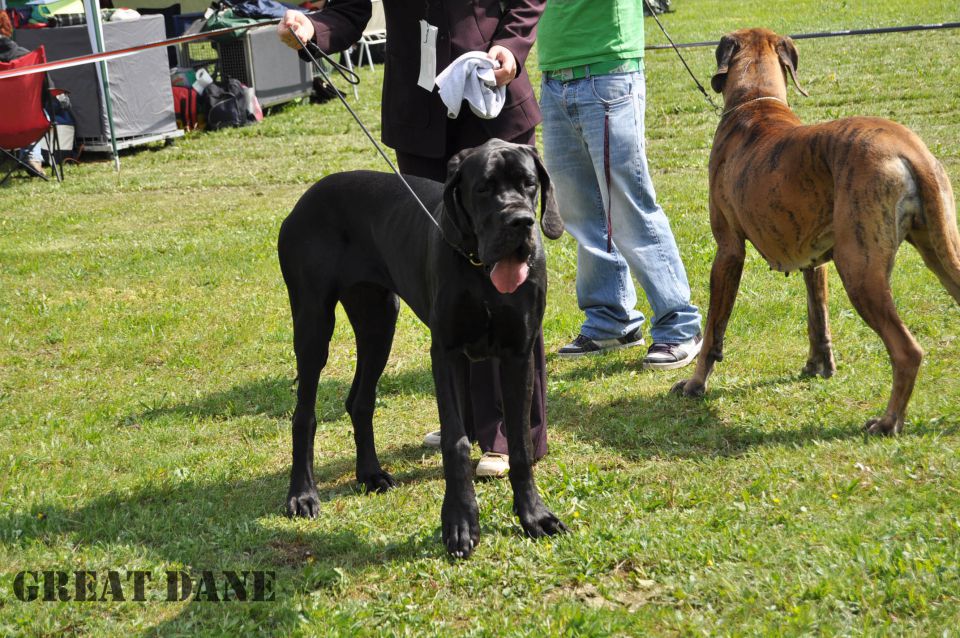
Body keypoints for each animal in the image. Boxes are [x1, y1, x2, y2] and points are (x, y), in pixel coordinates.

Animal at [672, 28, 960, 436]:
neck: (756, 103)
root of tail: (909, 148)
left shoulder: (728, 252)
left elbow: (715, 327)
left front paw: (696, 384)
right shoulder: (815, 259)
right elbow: (817, 317)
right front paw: (818, 366)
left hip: (860, 271)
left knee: (907, 351)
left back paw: (888, 421)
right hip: (940, 252)